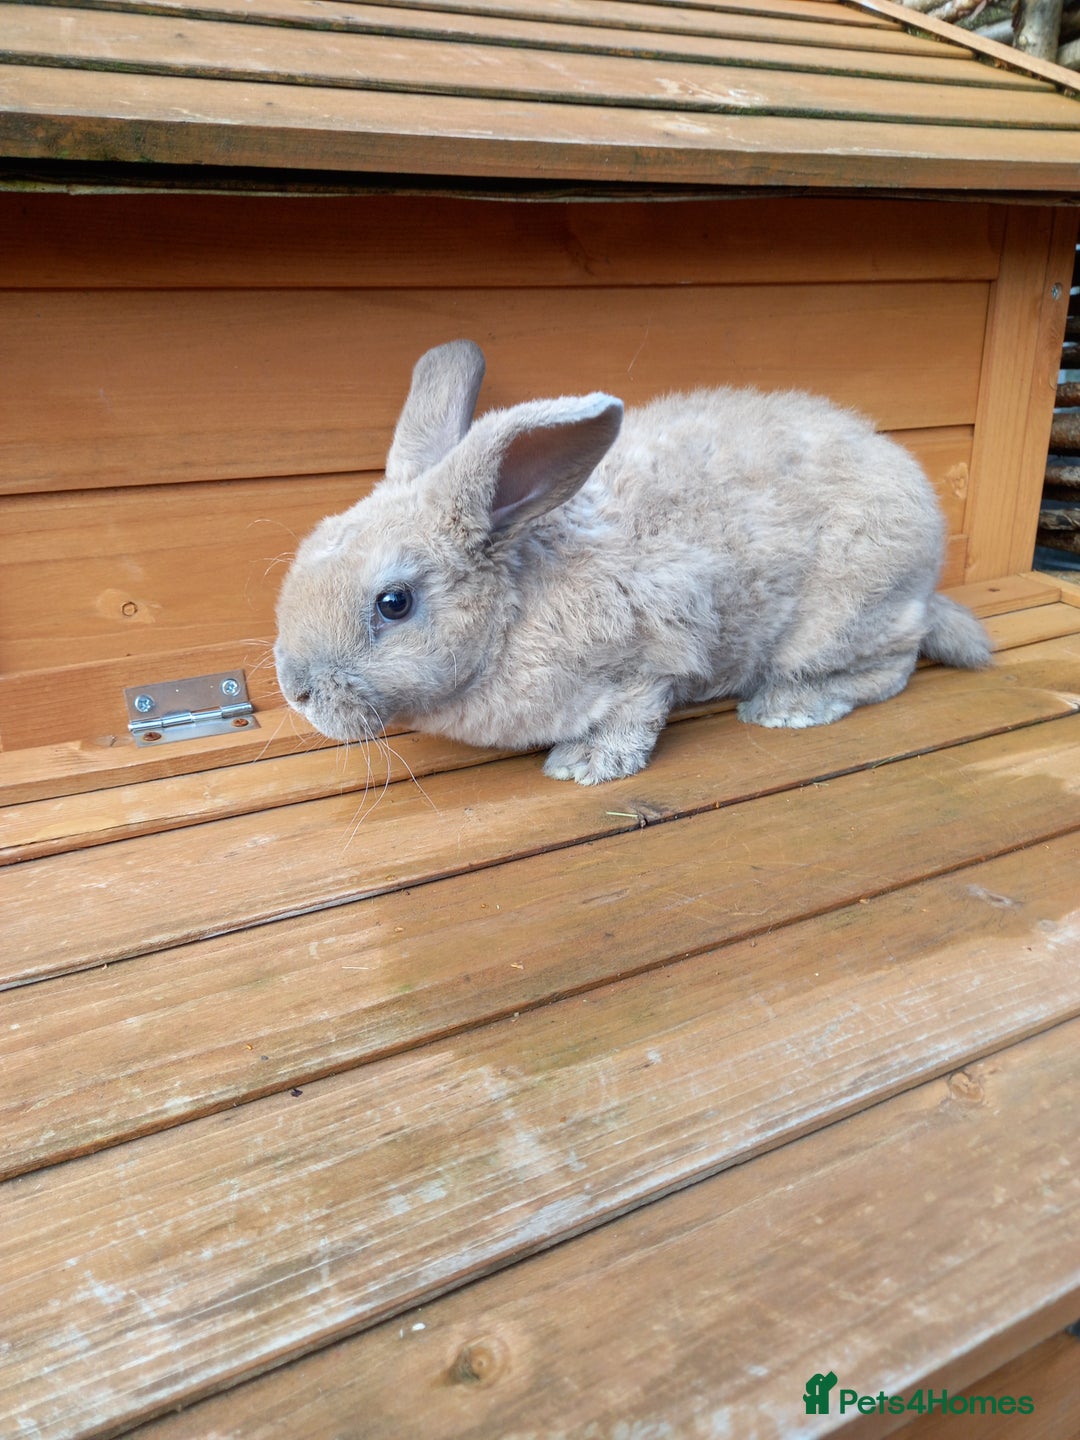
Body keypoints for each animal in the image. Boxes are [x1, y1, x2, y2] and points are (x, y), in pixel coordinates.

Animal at [274, 339, 991, 785]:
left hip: (847, 615)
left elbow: (634, 711)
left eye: (393, 603)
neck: (514, 610)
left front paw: (585, 765)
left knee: (891, 665)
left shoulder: (649, 655)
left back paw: (787, 706)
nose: (295, 690)